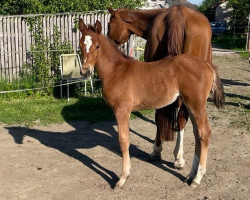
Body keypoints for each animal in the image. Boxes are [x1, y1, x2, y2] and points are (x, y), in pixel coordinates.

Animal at [78, 19, 225, 188]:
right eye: (80, 45)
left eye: (97, 46)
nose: (85, 71)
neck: (116, 71)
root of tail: (207, 66)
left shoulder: (122, 109)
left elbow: (123, 141)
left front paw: (122, 178)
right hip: (190, 104)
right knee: (197, 134)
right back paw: (191, 175)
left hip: (197, 104)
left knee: (204, 133)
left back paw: (197, 178)